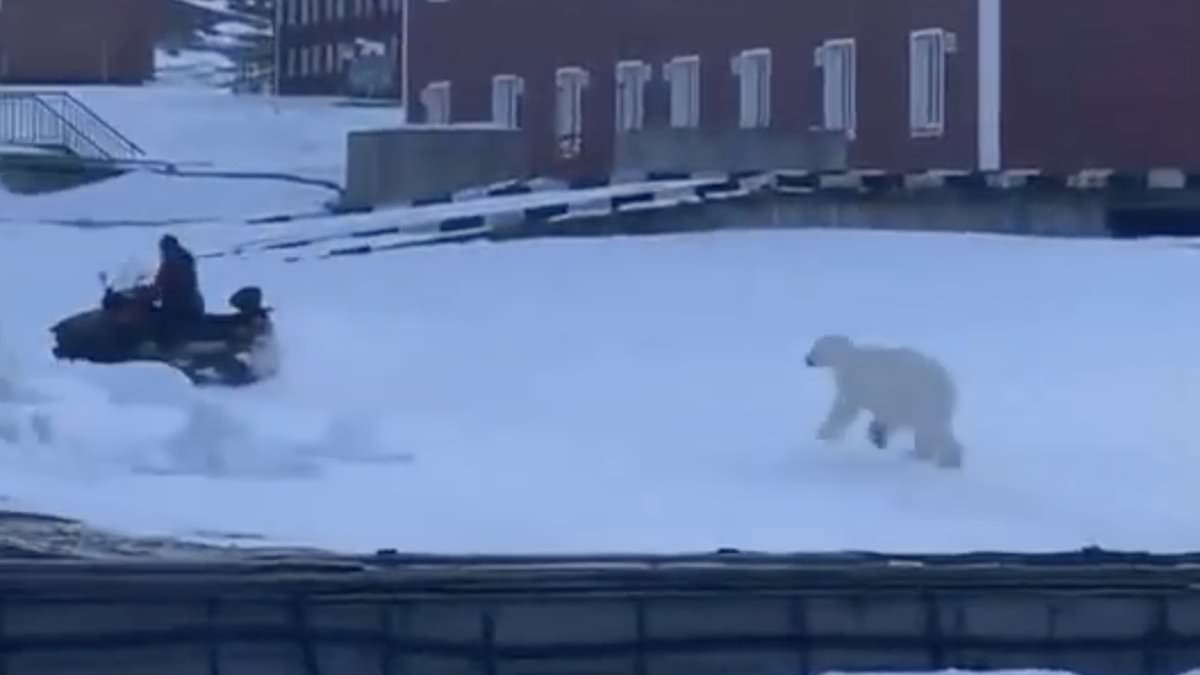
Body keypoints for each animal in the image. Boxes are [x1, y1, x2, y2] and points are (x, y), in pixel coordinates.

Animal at [805, 333, 964, 469]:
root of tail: (949, 385)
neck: (852, 358)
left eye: (815, 349)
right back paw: (916, 454)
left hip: (923, 397)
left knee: (933, 428)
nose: (807, 359)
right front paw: (877, 434)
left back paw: (948, 461)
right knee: (926, 431)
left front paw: (824, 432)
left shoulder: (858, 383)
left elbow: (845, 409)